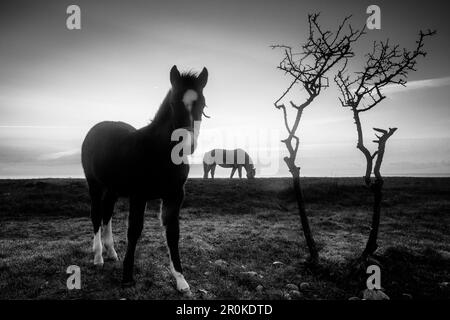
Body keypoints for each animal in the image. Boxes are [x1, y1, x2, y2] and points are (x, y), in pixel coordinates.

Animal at [81, 65, 207, 292]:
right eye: (173, 103)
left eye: (202, 104)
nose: (187, 144)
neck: (159, 152)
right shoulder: (138, 196)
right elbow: (134, 231)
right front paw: (127, 277)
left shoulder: (175, 196)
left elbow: (173, 234)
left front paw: (181, 280)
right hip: (95, 185)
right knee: (96, 214)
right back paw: (98, 257)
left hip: (112, 189)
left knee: (107, 214)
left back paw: (111, 252)